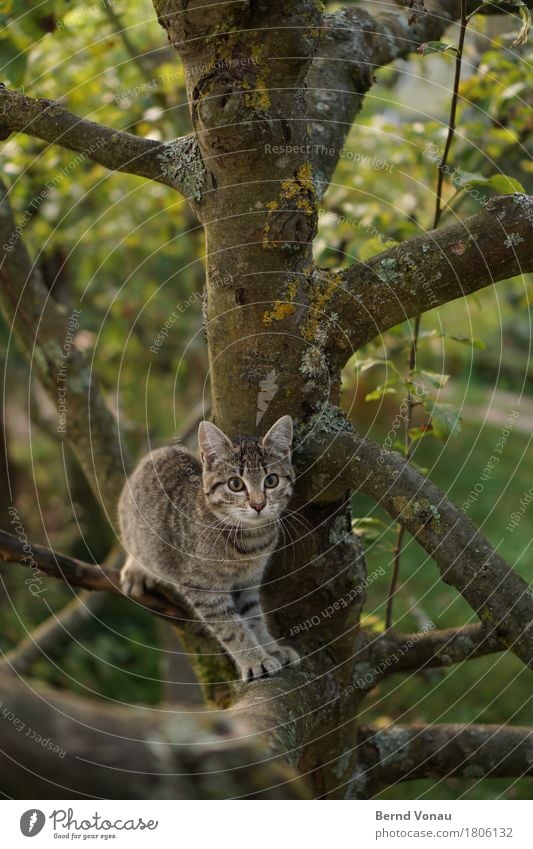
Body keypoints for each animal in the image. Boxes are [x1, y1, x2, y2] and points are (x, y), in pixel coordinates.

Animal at [119, 414, 300, 680]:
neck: (250, 541)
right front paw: (255, 659)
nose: (258, 504)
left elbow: (254, 618)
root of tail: (158, 452)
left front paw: (272, 649)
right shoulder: (203, 589)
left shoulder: (248, 582)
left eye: (271, 480)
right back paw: (135, 570)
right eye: (236, 484)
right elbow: (231, 628)